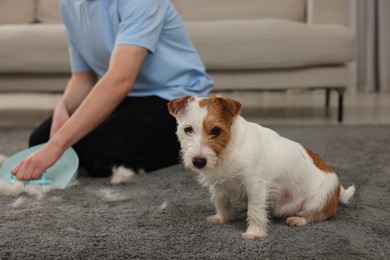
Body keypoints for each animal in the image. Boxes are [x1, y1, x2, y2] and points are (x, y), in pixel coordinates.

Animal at [166, 95, 354, 240]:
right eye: (188, 129)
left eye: (216, 131)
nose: (198, 161)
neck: (229, 150)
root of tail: (338, 189)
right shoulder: (218, 186)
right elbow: (221, 202)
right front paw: (222, 218)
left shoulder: (255, 186)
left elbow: (255, 211)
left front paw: (254, 232)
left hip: (318, 202)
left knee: (317, 215)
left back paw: (298, 219)